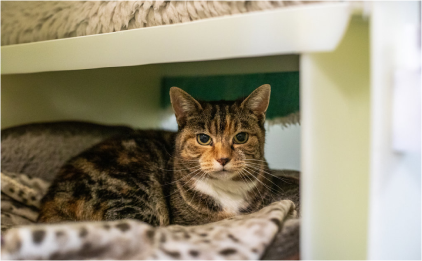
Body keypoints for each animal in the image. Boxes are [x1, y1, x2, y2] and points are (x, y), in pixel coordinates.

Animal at [37, 85, 294, 225]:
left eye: (241, 137)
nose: (223, 159)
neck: (226, 192)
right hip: (136, 194)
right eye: (203, 139)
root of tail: (53, 200)